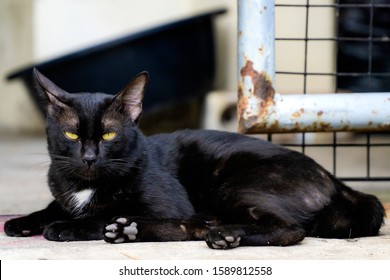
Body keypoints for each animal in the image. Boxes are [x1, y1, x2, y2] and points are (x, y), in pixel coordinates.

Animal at [4, 69, 386, 248]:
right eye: (71, 135)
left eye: (108, 135)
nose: (88, 157)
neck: (84, 185)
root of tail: (332, 177)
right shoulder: (64, 193)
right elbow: (54, 206)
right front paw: (22, 221)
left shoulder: (165, 204)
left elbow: (99, 215)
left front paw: (65, 227)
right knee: (197, 225)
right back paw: (133, 231)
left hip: (232, 184)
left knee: (288, 229)